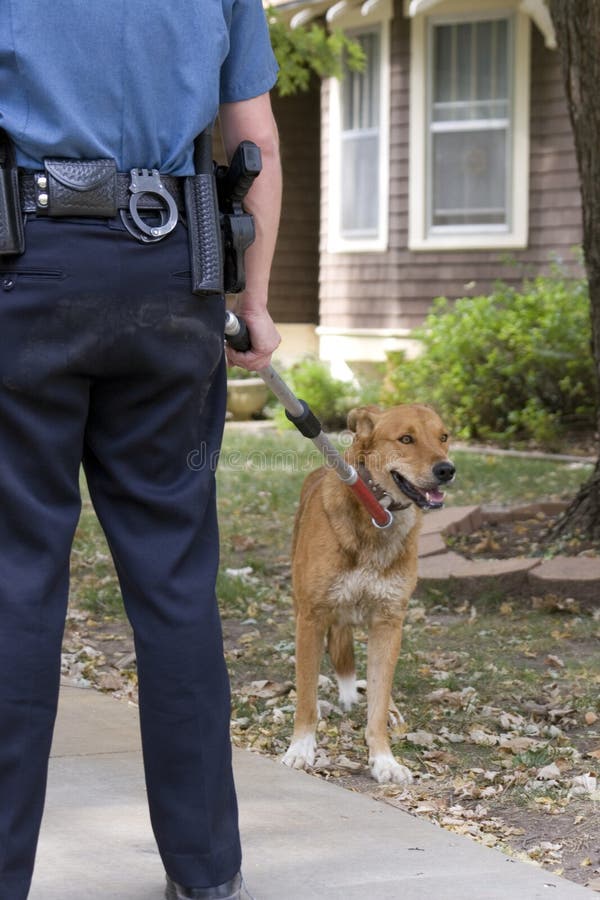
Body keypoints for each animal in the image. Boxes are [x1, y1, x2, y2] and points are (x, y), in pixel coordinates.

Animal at [282, 404, 454, 784]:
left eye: (444, 437)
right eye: (406, 439)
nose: (447, 470)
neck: (378, 514)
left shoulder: (389, 623)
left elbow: (378, 699)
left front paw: (384, 759)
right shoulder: (312, 618)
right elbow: (306, 697)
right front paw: (301, 748)